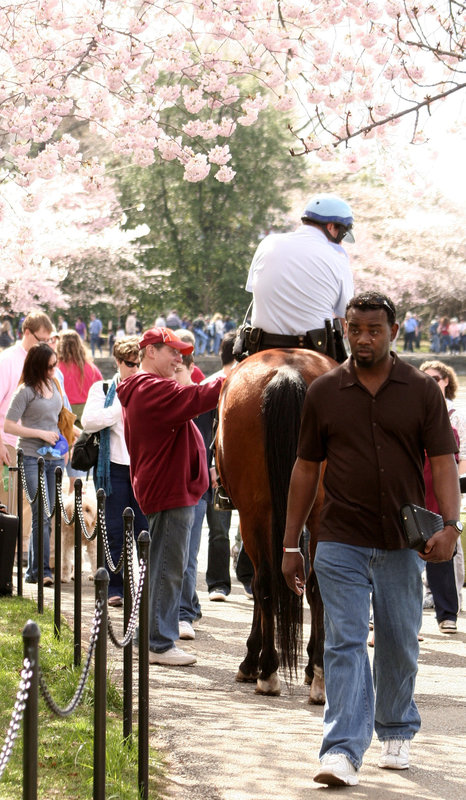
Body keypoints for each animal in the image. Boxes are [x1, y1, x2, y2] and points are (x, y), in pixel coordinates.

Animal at [217, 346, 334, 704]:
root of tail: (287, 372)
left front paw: (251, 660)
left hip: (254, 513)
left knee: (265, 582)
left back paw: (268, 670)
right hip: (317, 512)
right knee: (315, 585)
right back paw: (319, 674)